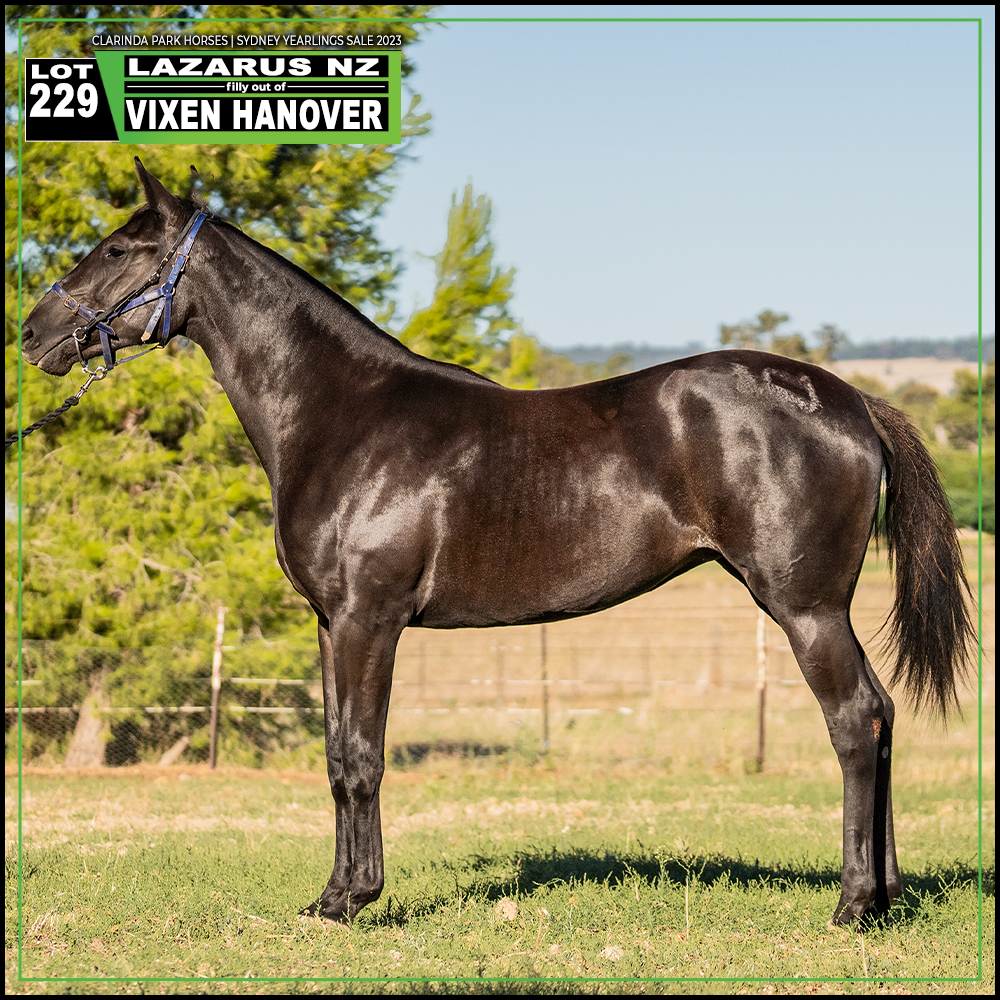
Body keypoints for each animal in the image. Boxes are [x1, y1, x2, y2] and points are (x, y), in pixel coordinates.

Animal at [21, 159, 975, 926]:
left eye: (118, 249)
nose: (34, 333)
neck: (345, 417)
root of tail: (850, 400)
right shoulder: (331, 625)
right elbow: (334, 755)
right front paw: (331, 897)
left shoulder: (369, 620)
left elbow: (362, 757)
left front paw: (356, 901)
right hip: (821, 610)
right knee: (882, 716)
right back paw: (886, 896)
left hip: (805, 607)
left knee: (854, 721)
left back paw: (852, 905)